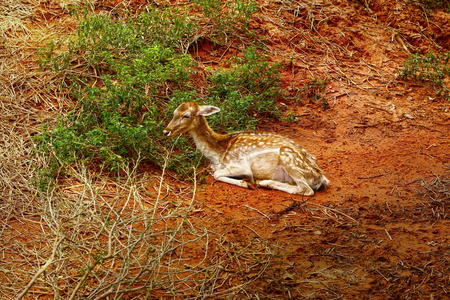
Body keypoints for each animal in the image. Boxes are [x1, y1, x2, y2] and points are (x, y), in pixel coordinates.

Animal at [163, 101, 328, 196]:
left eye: (186, 115)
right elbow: (214, 171)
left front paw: (245, 182)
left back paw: (263, 183)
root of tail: (320, 178)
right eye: (174, 112)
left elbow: (216, 174)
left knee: (306, 190)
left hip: (288, 157)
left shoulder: (240, 164)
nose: (166, 131)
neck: (218, 153)